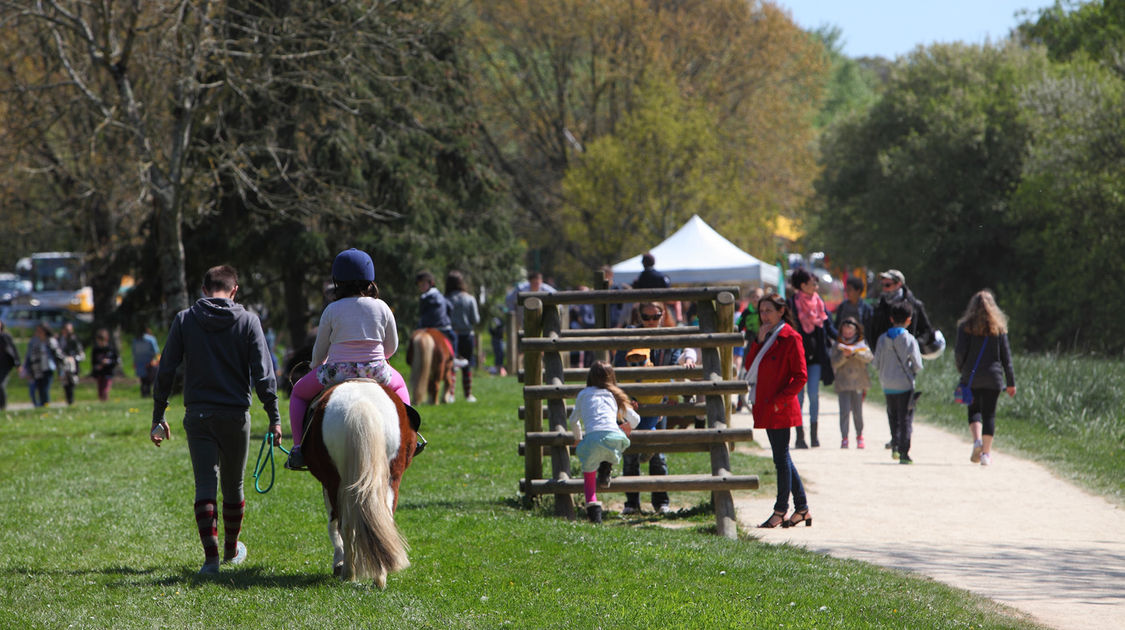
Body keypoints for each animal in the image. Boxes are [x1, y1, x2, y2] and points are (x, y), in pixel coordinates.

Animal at [303, 375, 418, 589]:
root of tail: (361, 405)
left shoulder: (326, 484)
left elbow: (333, 524)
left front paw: (338, 562)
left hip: (335, 480)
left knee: (344, 524)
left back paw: (348, 572)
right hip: (391, 477)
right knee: (382, 520)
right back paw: (379, 576)